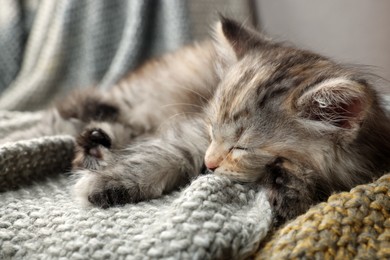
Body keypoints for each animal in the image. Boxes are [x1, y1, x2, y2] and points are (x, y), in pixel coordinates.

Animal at [54, 17, 390, 225]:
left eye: (242, 148)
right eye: (211, 130)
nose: (209, 164)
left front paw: (290, 185)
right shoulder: (191, 134)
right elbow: (159, 155)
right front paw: (107, 183)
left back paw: (96, 145)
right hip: (135, 100)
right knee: (74, 113)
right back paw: (94, 145)